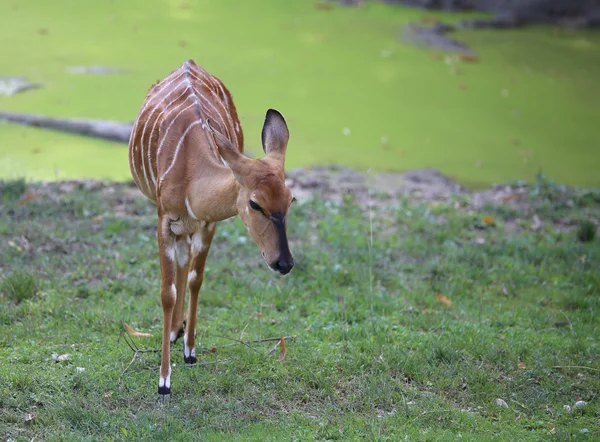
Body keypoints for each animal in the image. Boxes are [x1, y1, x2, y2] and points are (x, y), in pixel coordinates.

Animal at [128, 59, 292, 398]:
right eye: (255, 204)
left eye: (291, 199)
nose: (284, 262)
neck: (191, 172)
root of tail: (188, 62)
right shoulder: (164, 220)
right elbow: (166, 292)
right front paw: (163, 381)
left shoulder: (208, 224)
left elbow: (196, 279)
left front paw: (190, 351)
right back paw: (173, 332)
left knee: (186, 264)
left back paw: (179, 331)